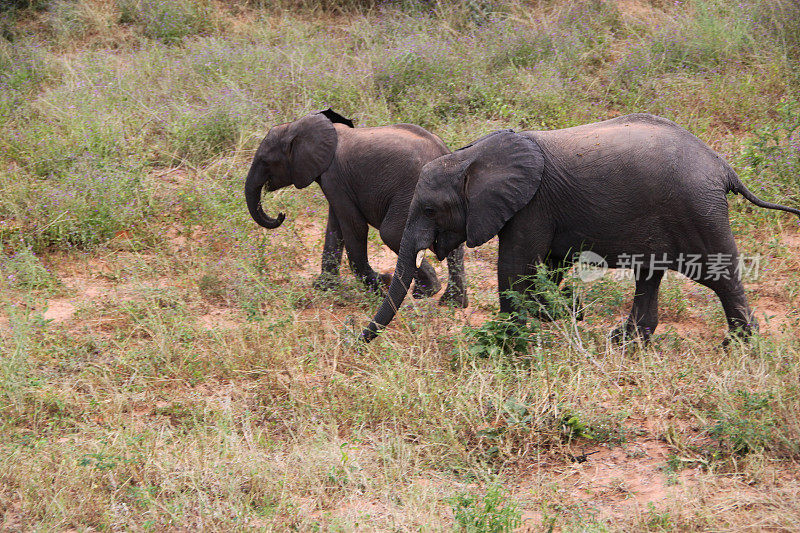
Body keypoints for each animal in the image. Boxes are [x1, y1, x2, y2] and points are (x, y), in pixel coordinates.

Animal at [244, 108, 468, 306]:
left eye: (265, 161)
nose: (281, 214)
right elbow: (334, 228)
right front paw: (323, 287)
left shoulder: (334, 176)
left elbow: (354, 227)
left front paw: (381, 286)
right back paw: (452, 302)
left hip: (413, 194)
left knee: (392, 234)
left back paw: (427, 291)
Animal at [362, 114, 800, 342]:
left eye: (430, 209)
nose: (360, 341)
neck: (471, 156)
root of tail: (723, 167)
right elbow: (549, 266)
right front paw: (562, 313)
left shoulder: (531, 205)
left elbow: (516, 266)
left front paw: (512, 334)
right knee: (649, 276)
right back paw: (624, 342)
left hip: (697, 209)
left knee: (719, 276)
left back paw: (738, 344)